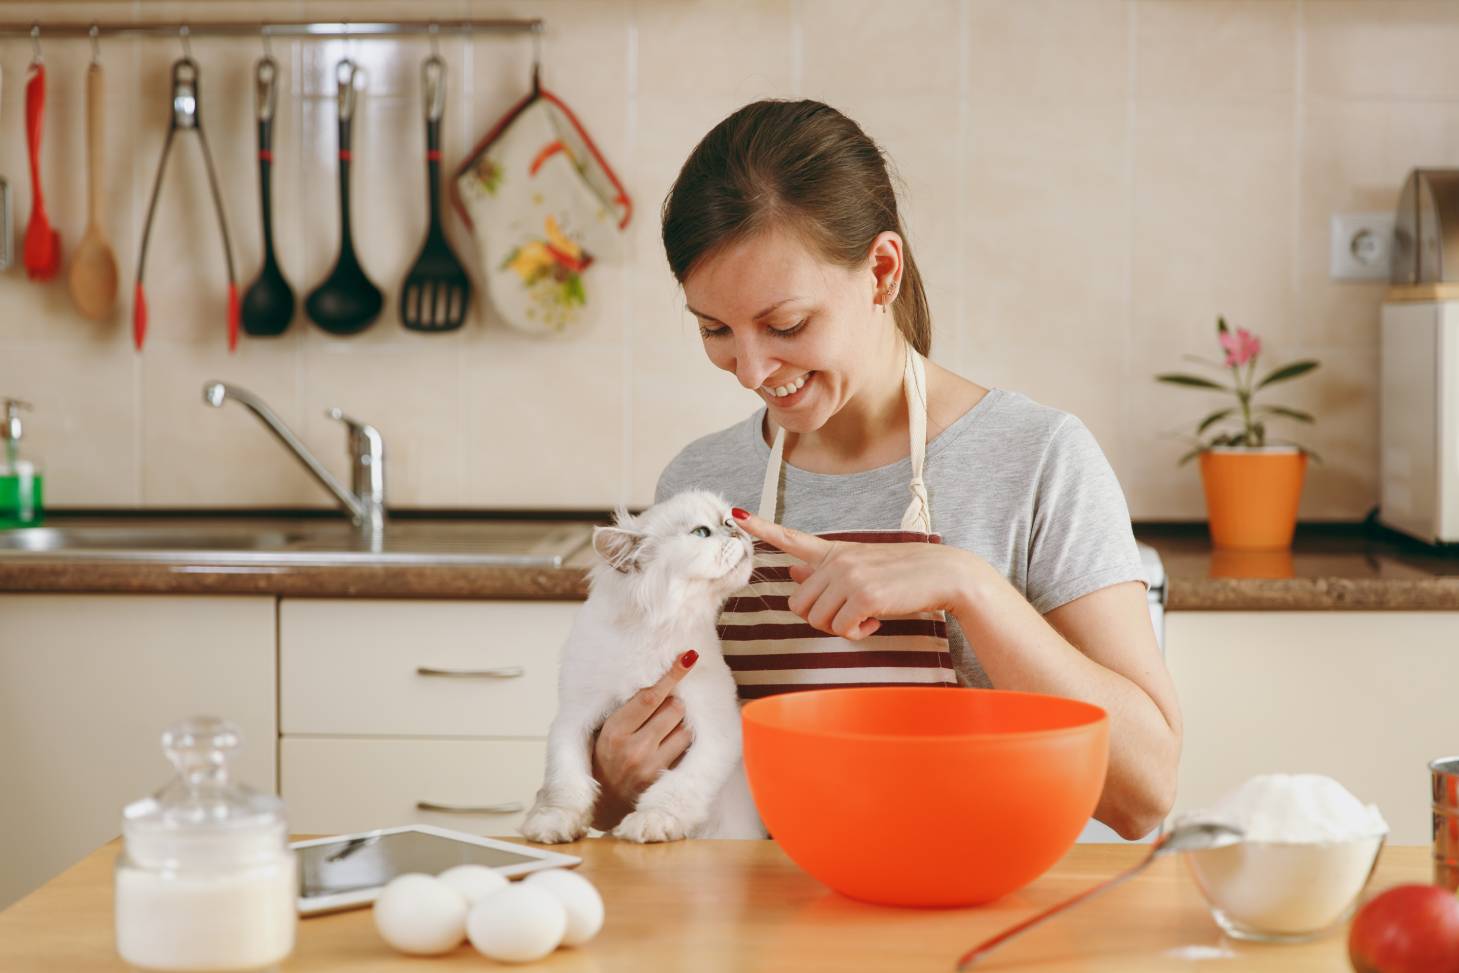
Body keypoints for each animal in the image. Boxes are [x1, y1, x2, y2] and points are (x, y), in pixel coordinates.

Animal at [519, 490, 764, 840]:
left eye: (730, 520)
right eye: (702, 532)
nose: (737, 530)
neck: (653, 633)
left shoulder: (717, 729)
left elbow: (678, 787)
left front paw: (652, 822)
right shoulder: (572, 719)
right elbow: (566, 783)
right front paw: (551, 824)